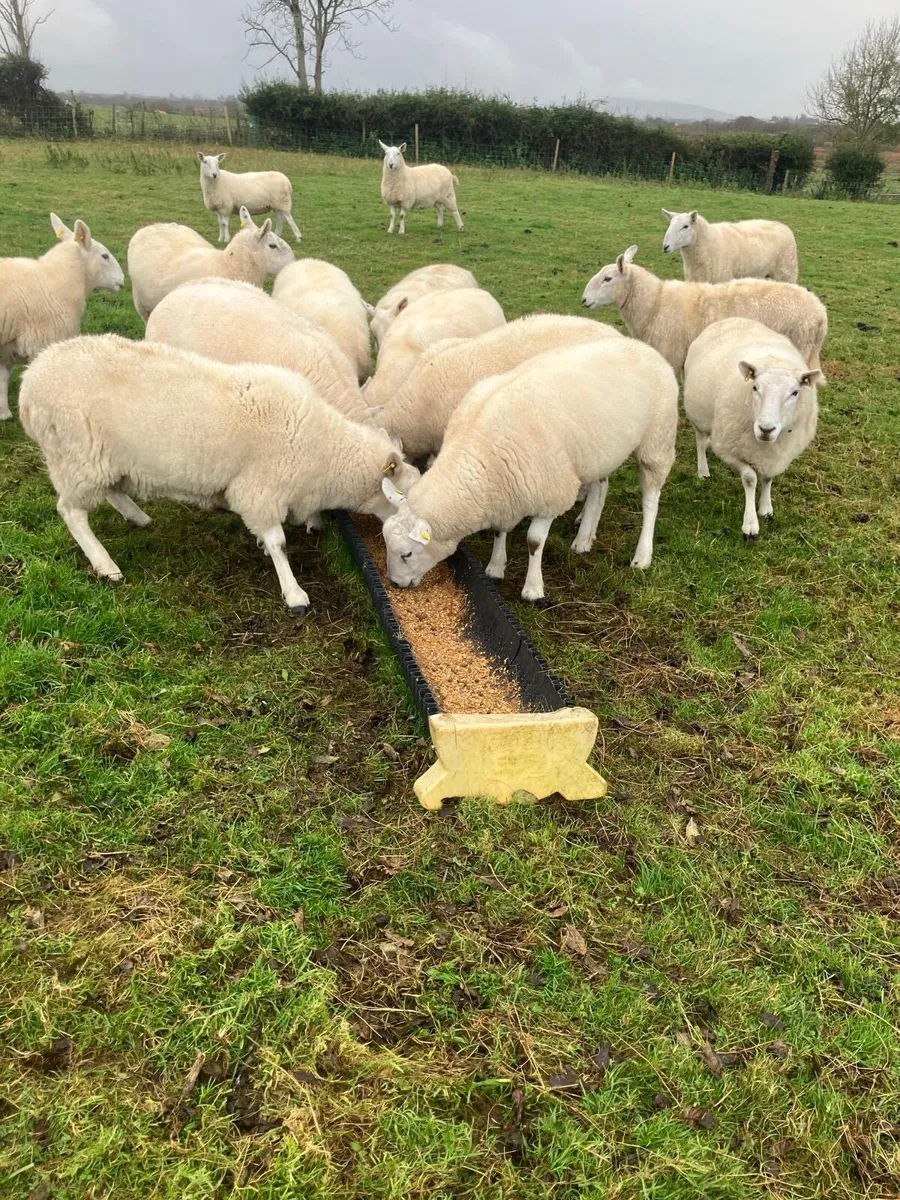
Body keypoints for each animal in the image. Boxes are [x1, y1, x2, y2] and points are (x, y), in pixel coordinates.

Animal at [0, 213, 124, 421]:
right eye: (105, 256)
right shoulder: (42, 341)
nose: (122, 280)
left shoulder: (8, 346)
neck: (56, 279)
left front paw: (3, 413)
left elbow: (3, 378)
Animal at [19, 334, 420, 614]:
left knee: (111, 491)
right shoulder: (259, 489)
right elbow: (278, 543)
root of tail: (30, 380)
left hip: (106, 459)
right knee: (72, 512)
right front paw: (294, 593)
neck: (324, 448)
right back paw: (105, 565)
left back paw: (138, 517)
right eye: (403, 499)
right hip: (77, 455)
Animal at [381, 337, 678, 601]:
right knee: (600, 488)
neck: (478, 456)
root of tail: (644, 346)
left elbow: (534, 540)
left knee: (650, 500)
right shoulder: (505, 494)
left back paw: (642, 555)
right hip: (596, 452)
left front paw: (533, 589)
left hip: (657, 440)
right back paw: (584, 538)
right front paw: (496, 566)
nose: (395, 584)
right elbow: (500, 530)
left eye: (407, 554)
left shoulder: (552, 492)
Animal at [581, 245, 826, 378]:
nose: (584, 300)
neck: (655, 303)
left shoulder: (671, 353)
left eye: (607, 278)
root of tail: (820, 312)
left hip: (799, 347)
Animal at [683, 318, 822, 539]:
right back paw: (703, 470)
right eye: (755, 387)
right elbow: (750, 478)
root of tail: (731, 318)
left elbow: (768, 478)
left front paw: (766, 508)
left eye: (794, 392)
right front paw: (750, 524)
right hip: (699, 414)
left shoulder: (775, 455)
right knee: (699, 440)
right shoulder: (728, 451)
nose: (766, 429)